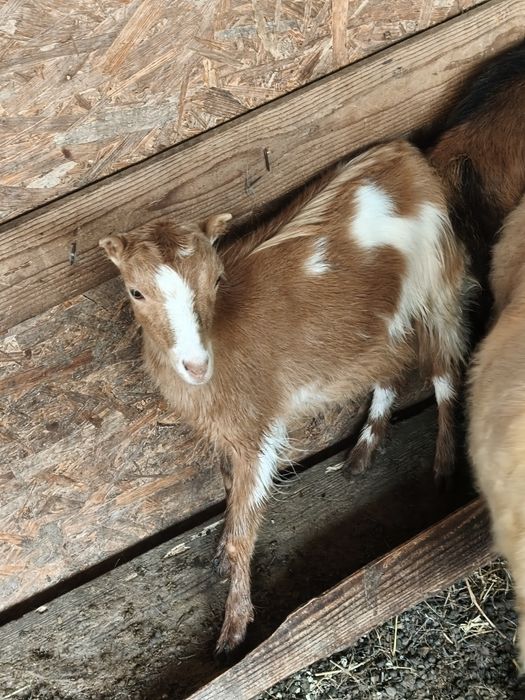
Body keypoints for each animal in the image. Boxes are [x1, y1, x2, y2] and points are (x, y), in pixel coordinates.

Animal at [100, 139, 469, 653]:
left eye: (216, 280)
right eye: (136, 292)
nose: (196, 365)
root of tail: (401, 153)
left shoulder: (259, 431)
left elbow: (247, 526)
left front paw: (234, 628)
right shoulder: (225, 433)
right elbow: (230, 492)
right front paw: (221, 552)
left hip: (436, 282)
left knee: (444, 372)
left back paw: (444, 466)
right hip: (379, 326)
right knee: (393, 365)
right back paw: (365, 449)